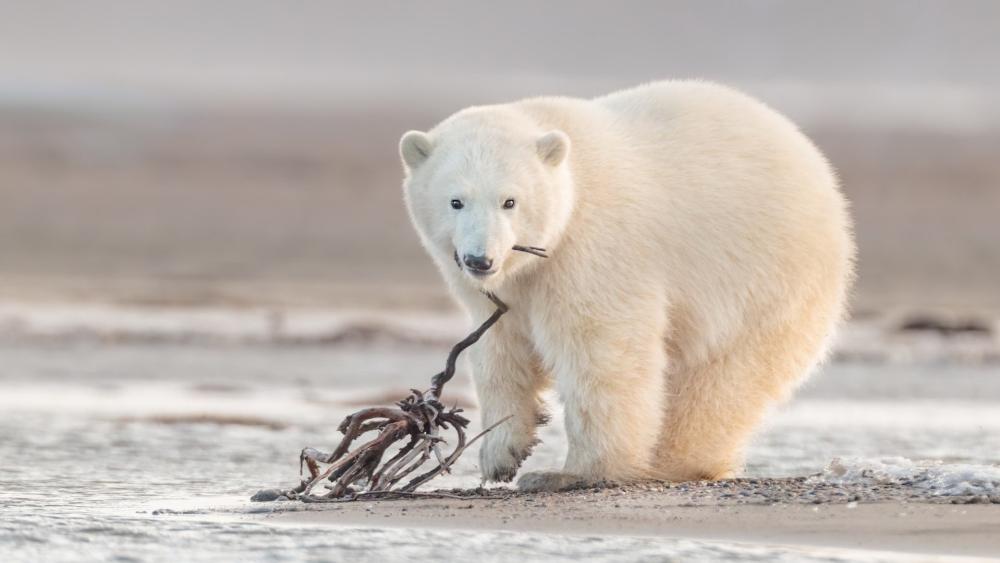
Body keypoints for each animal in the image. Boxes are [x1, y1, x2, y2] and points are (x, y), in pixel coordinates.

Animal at [399, 80, 855, 492]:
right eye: (456, 201)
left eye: (510, 201)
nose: (481, 259)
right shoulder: (503, 292)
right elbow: (502, 354)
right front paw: (500, 454)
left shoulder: (595, 248)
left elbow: (601, 351)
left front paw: (572, 472)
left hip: (767, 280)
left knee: (721, 383)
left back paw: (673, 461)